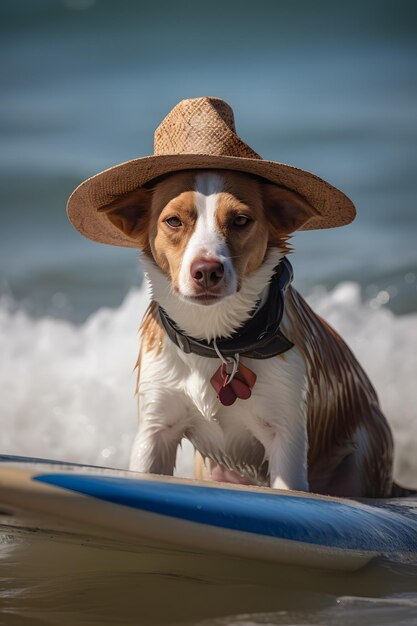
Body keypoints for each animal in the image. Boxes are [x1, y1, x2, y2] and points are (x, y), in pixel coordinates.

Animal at [69, 96, 400, 498]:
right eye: (174, 221)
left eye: (241, 220)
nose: (207, 270)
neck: (216, 343)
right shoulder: (155, 428)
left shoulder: (286, 435)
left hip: (362, 454)